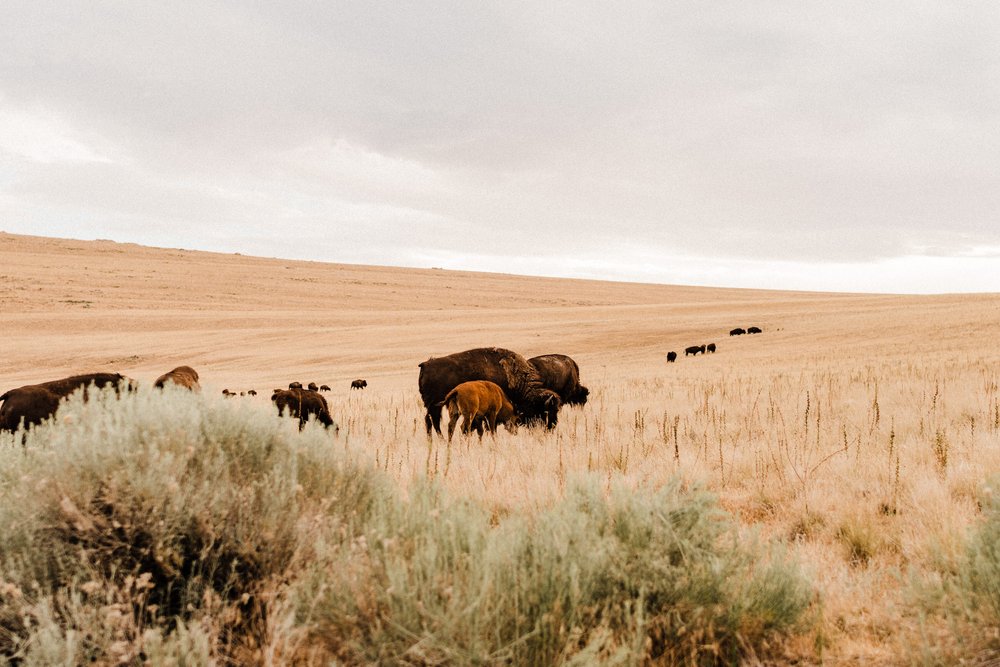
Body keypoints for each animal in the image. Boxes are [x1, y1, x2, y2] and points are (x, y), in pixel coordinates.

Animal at [416, 348, 564, 436]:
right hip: (434, 405)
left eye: (557, 410)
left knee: (431, 421)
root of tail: (426, 365)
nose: (552, 427)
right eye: (545, 411)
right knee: (433, 421)